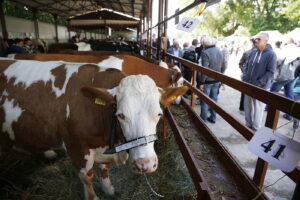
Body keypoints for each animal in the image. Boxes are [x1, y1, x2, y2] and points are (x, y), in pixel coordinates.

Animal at [0, 58, 188, 199]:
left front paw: (109, 189)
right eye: (120, 115)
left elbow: (104, 168)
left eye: (158, 114)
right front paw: (94, 196)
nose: (145, 164)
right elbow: (87, 177)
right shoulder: (76, 147)